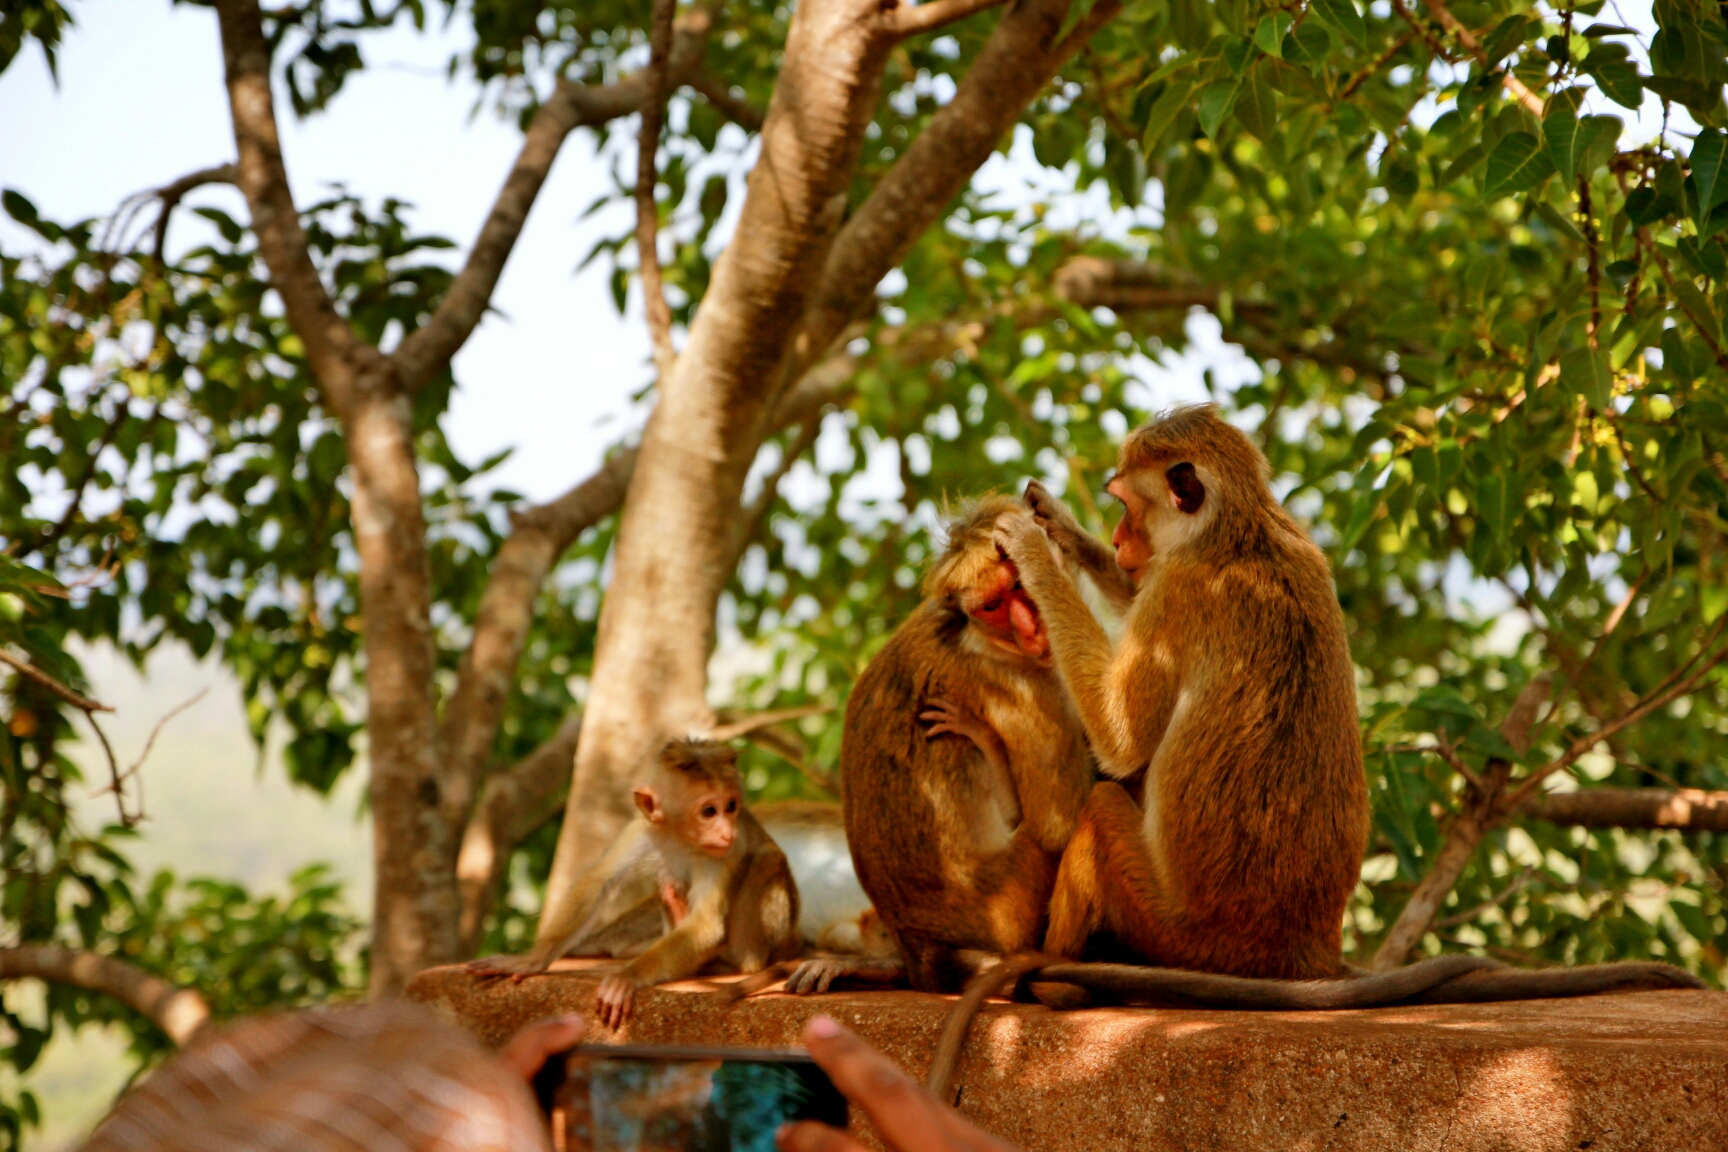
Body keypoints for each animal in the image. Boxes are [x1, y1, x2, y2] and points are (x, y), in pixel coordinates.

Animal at [470, 739, 798, 1029]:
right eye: (709, 811)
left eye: (731, 806)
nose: (727, 831)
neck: (680, 841)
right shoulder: (640, 830)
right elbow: (598, 881)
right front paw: (531, 960)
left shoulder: (723, 854)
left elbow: (706, 923)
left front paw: (626, 977)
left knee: (768, 859)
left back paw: (736, 963)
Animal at [787, 500, 1085, 994]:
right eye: (993, 605)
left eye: (1018, 584)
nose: (1032, 630)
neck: (974, 637)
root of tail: (918, 944)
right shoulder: (1021, 688)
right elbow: (1060, 822)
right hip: (1010, 899)